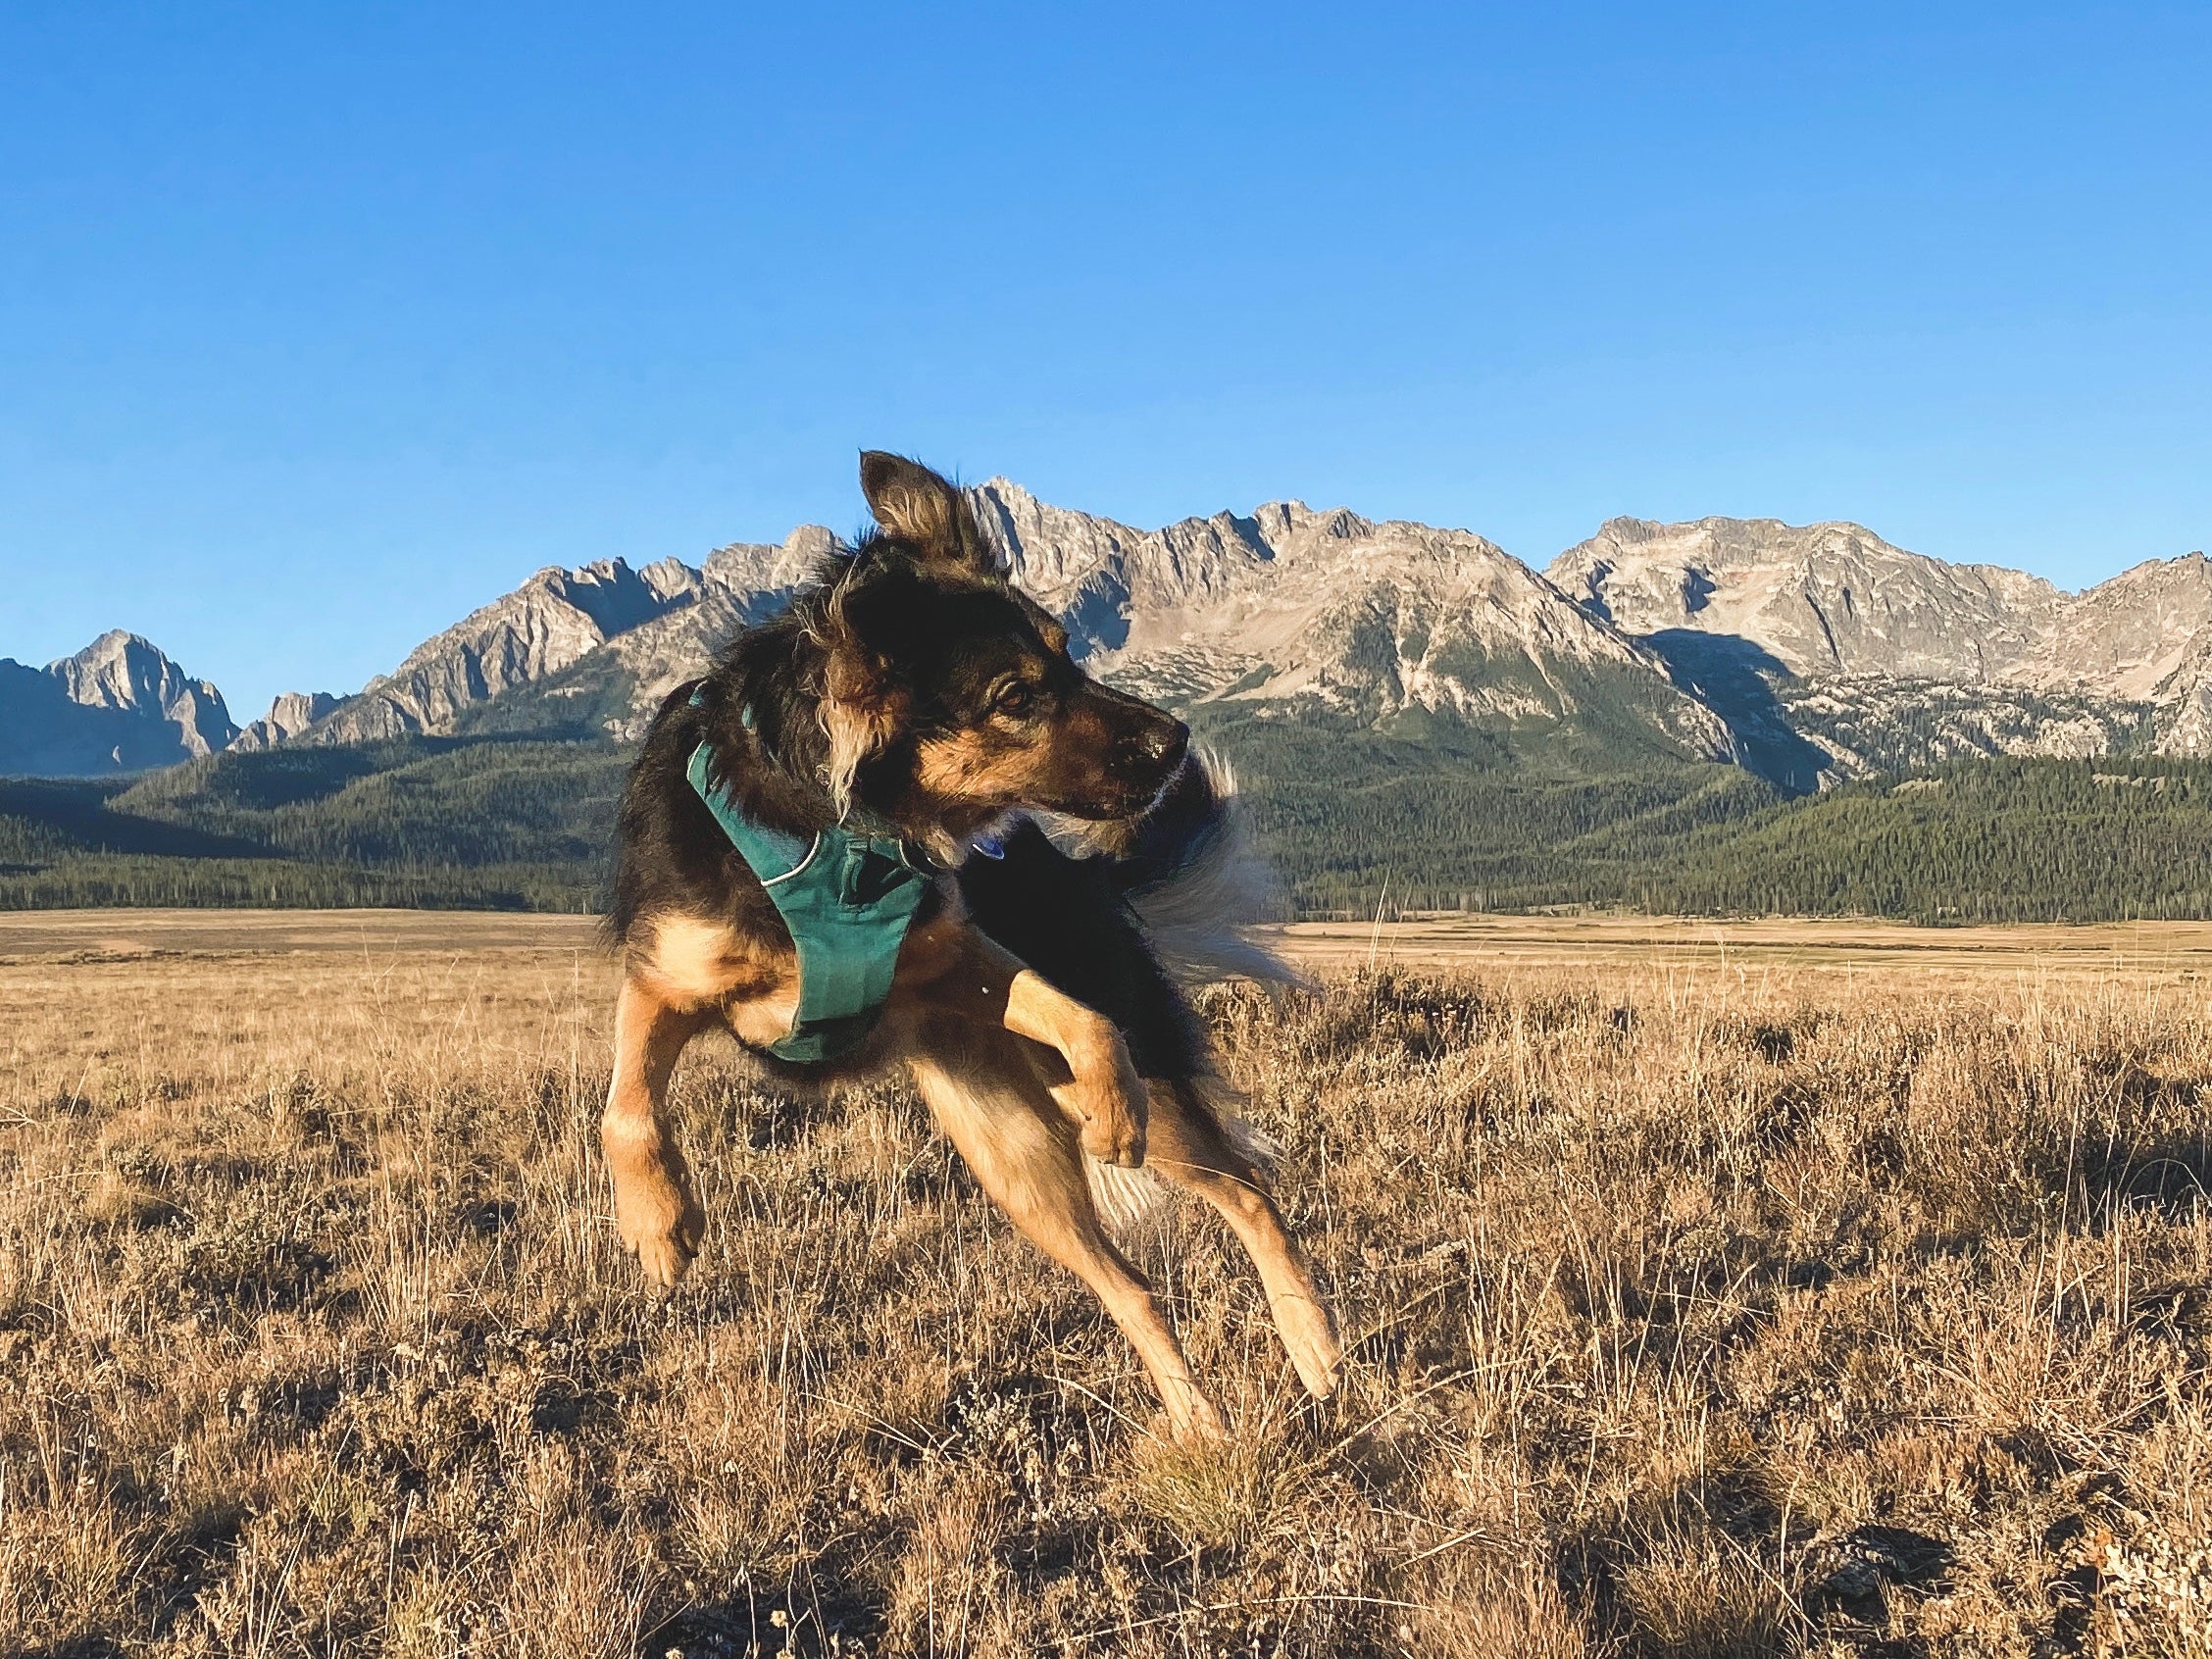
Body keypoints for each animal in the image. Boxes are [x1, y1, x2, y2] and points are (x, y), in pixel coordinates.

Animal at [597, 455, 1335, 1441]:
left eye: (1069, 652)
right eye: (1016, 696)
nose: (1176, 740)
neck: (831, 826)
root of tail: (1082, 876)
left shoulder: (954, 953)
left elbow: (1089, 1022)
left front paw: (1115, 1106)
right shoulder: (663, 979)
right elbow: (627, 1104)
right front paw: (659, 1224)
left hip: (1096, 1127)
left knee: (1250, 1195)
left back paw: (1314, 1350)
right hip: (1009, 1163)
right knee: (1134, 1289)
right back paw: (1200, 1425)